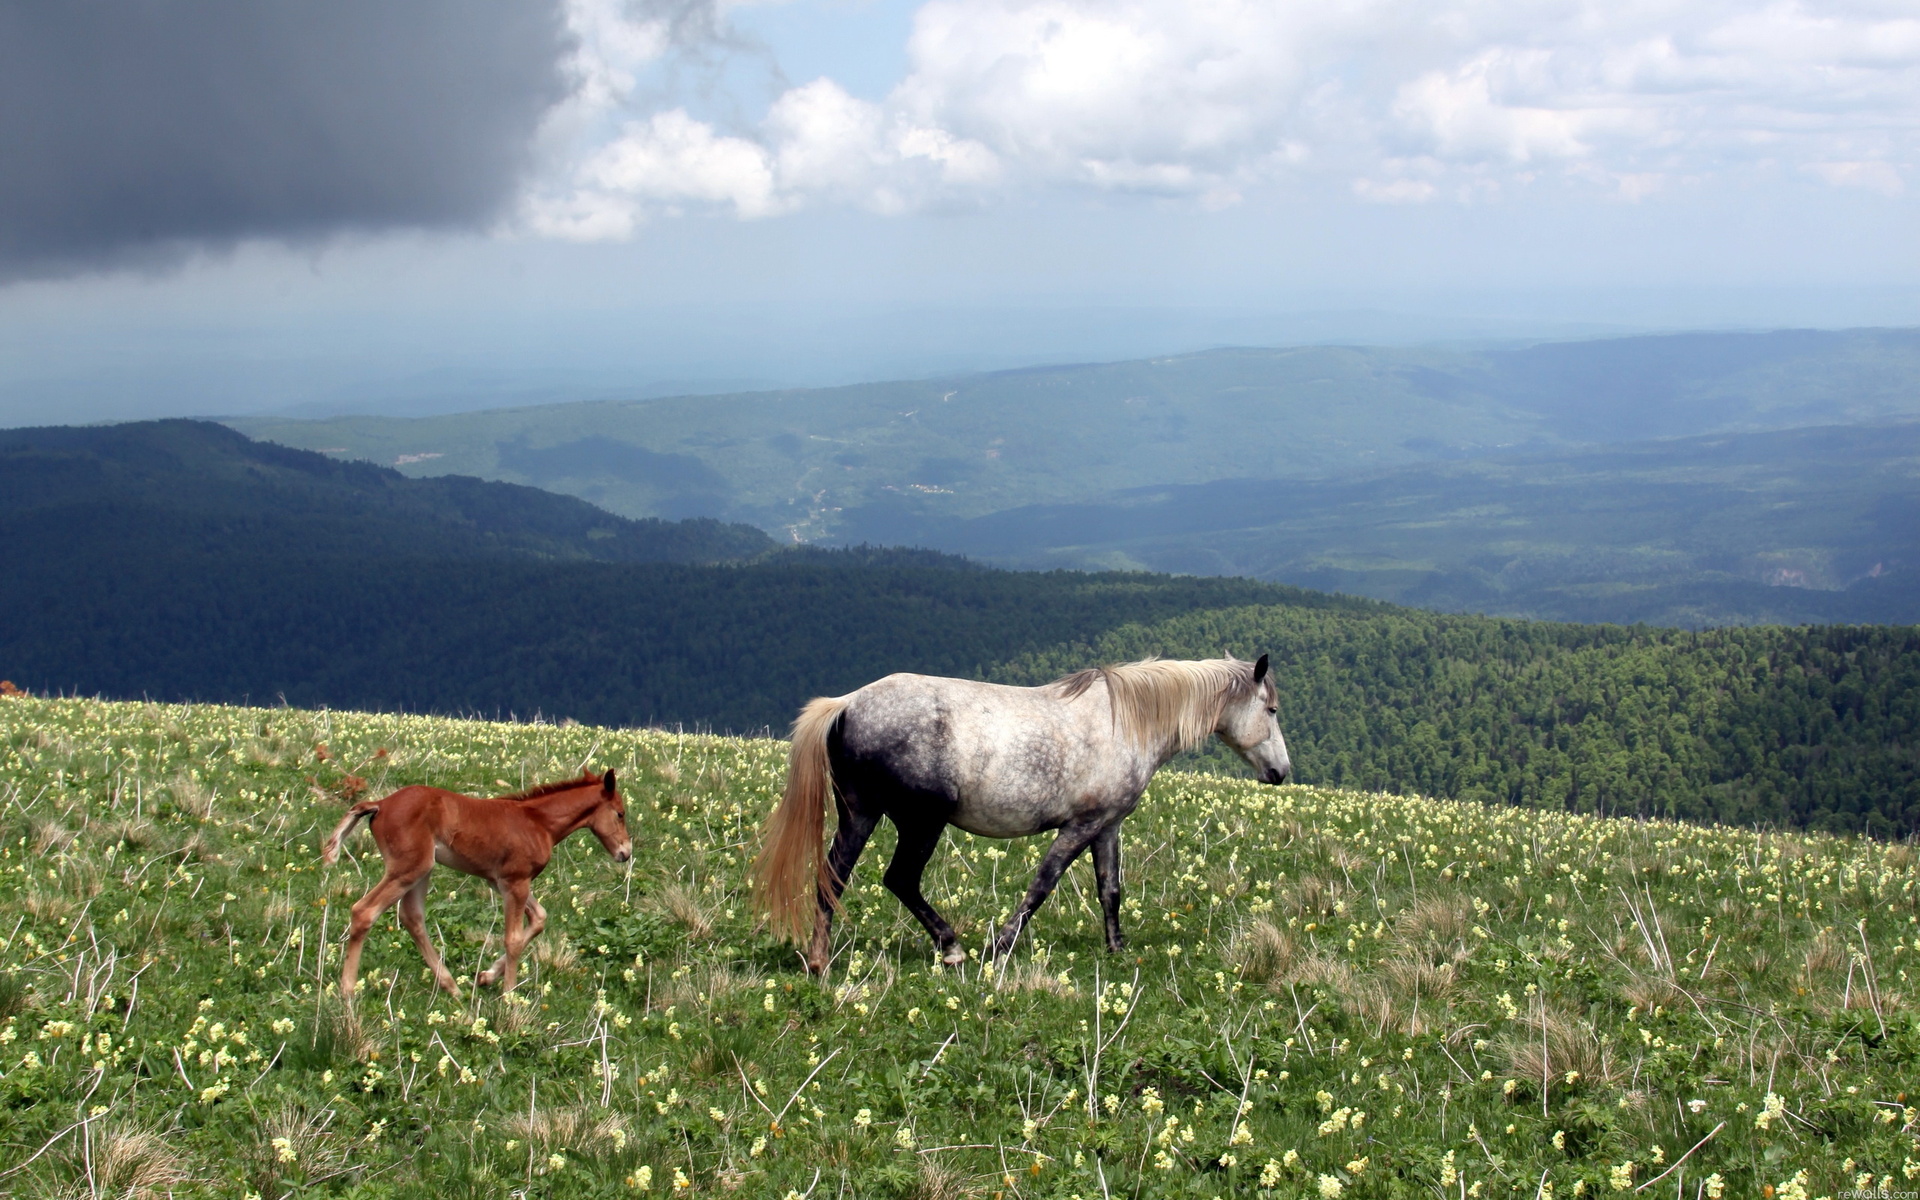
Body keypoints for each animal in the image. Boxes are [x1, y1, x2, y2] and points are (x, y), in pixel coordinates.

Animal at [322, 771, 629, 998]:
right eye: (620, 813)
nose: (625, 852)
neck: (538, 822)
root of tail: (381, 803)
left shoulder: (501, 882)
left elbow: (539, 919)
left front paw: (486, 977)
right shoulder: (516, 882)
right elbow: (513, 939)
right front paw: (509, 998)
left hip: (421, 870)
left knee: (412, 917)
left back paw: (453, 988)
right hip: (408, 868)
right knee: (365, 911)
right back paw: (348, 991)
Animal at [748, 656, 1290, 975]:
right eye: (1271, 710)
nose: (1281, 772)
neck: (1126, 722)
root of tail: (848, 703)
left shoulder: (1108, 826)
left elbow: (1110, 890)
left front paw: (1116, 949)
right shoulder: (1080, 825)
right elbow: (1043, 884)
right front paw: (1002, 946)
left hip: (859, 815)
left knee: (832, 879)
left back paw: (819, 960)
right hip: (922, 822)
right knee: (899, 878)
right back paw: (952, 947)